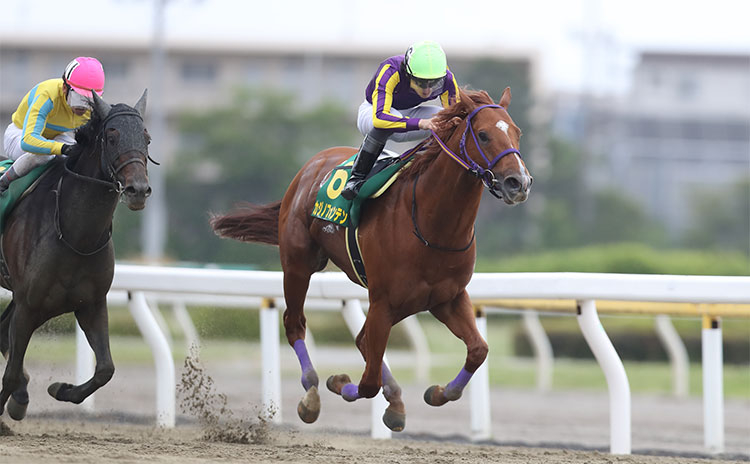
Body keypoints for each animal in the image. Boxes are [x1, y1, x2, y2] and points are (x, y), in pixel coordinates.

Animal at [0, 90, 153, 420]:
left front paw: (61, 389)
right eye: (111, 137)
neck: (76, 236)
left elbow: (106, 369)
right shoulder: (29, 306)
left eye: (146, 138)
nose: (138, 190)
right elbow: (12, 372)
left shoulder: (91, 304)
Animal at [212, 88, 532, 432]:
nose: (519, 183)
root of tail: (312, 164)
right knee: (296, 324)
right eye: (484, 135)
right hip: (298, 265)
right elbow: (367, 383)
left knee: (363, 340)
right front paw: (339, 383)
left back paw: (393, 401)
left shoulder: (447, 298)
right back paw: (311, 395)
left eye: (517, 133)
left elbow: (478, 351)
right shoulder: (383, 301)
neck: (432, 224)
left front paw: (437, 392)